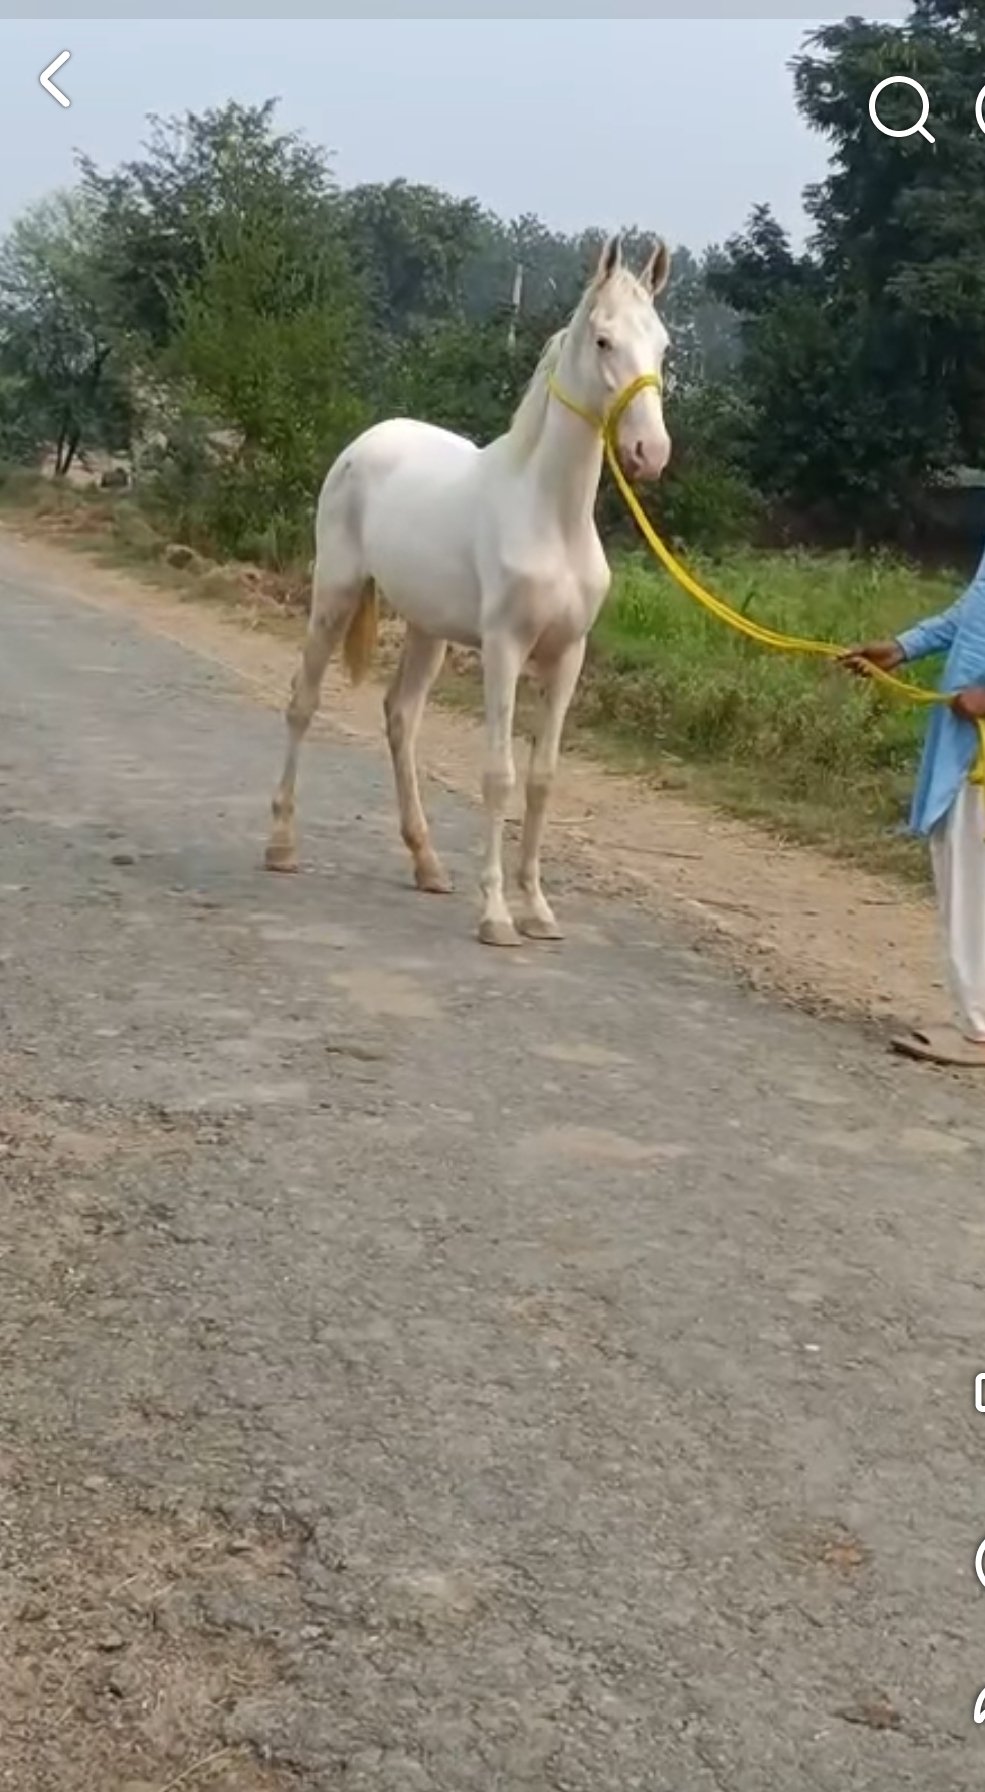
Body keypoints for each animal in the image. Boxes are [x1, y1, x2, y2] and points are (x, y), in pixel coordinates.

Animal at [264, 233, 672, 946]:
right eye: (602, 340)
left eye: (664, 345)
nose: (651, 451)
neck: (551, 516)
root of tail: (366, 442)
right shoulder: (505, 648)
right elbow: (499, 775)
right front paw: (496, 916)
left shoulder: (569, 656)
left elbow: (542, 778)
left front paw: (538, 909)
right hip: (334, 593)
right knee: (303, 701)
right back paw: (283, 844)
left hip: (427, 629)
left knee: (401, 717)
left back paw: (427, 863)